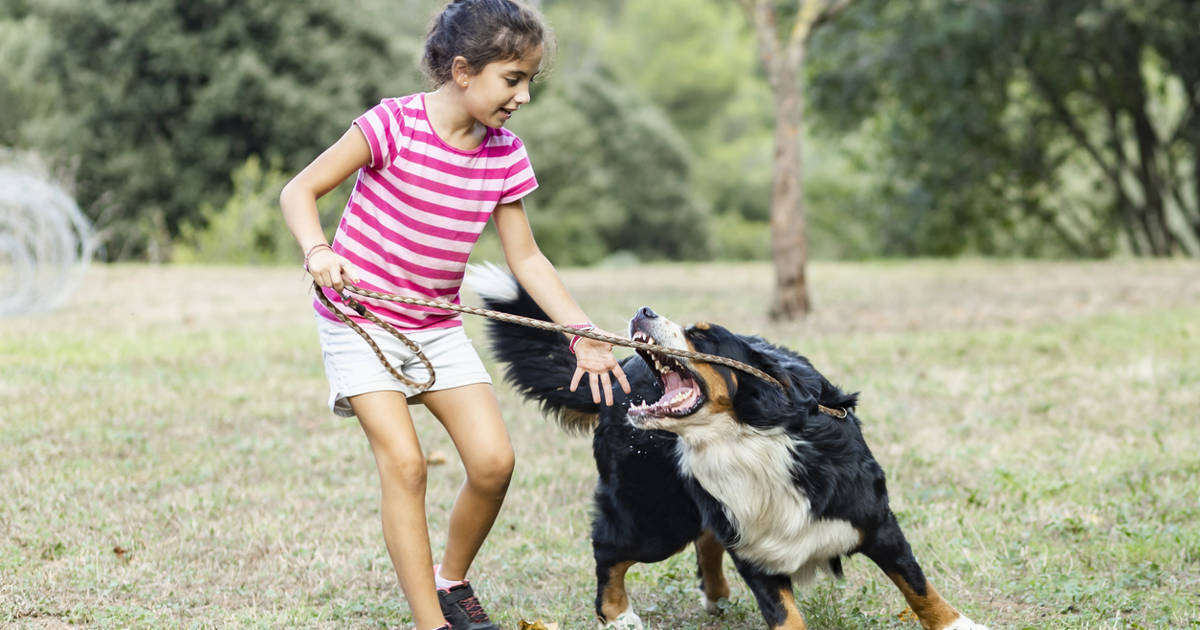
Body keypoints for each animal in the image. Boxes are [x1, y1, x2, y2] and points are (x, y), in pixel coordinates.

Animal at [468, 266, 984, 628]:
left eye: (701, 335)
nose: (643, 311)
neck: (748, 441)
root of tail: (619, 378)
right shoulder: (757, 548)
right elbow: (786, 615)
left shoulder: (873, 518)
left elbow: (917, 585)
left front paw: (958, 624)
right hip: (654, 518)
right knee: (609, 549)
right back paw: (617, 614)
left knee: (704, 538)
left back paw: (714, 594)